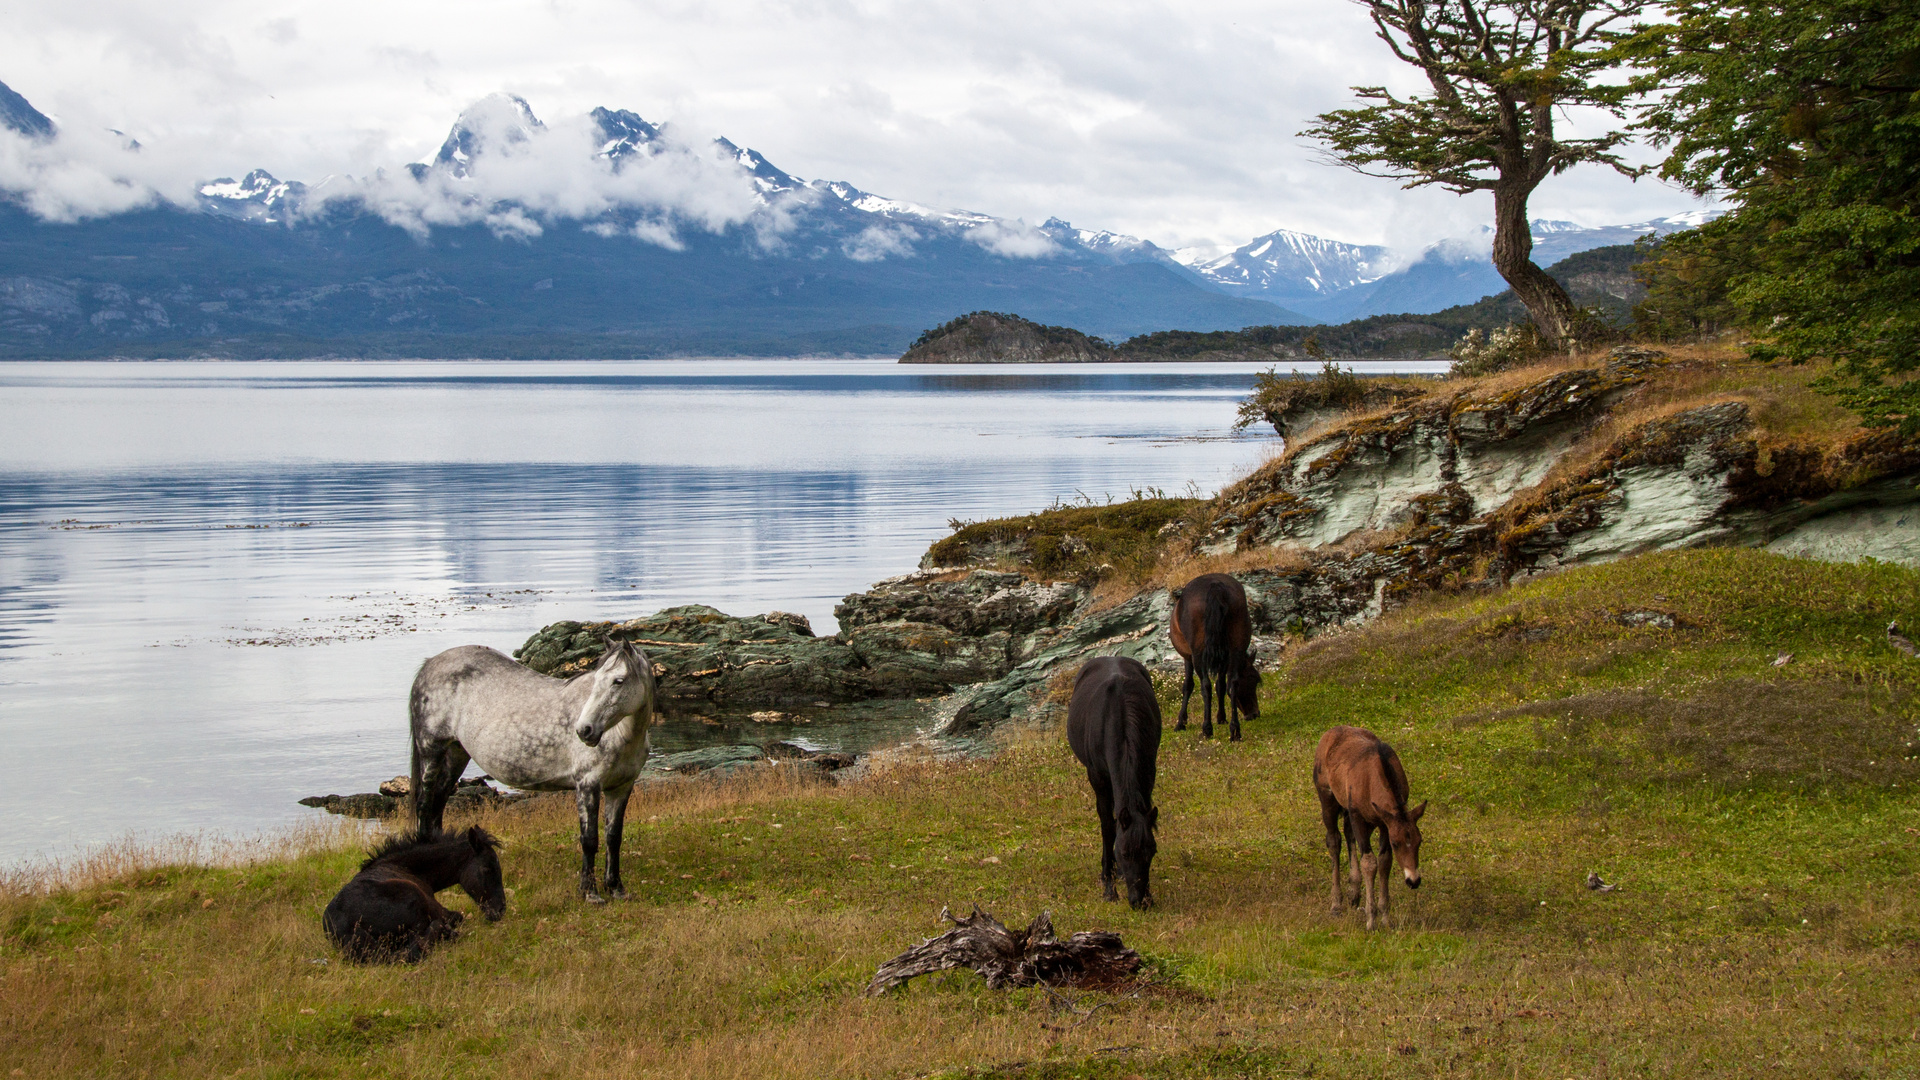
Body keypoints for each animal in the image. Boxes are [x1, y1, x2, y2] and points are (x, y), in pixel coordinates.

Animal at [328, 822, 510, 957]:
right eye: (487, 868)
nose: (500, 910)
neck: (406, 868)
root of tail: (345, 928)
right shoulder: (439, 910)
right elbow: (458, 917)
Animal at [408, 638, 656, 899]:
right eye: (596, 679)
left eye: (618, 681)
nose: (584, 730)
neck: (621, 734)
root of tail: (430, 664)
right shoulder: (588, 785)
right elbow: (589, 840)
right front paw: (590, 892)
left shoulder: (621, 787)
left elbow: (613, 837)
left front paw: (616, 887)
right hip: (431, 751)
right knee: (425, 805)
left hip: (456, 753)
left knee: (439, 802)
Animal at [1067, 653, 1152, 903]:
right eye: (1124, 852)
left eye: (1151, 851)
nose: (1139, 901)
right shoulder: (1098, 778)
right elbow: (1107, 825)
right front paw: (1108, 883)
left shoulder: (1147, 771)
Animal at [1167, 572, 1259, 737]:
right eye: (1253, 679)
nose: (1255, 714)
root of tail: (1215, 585)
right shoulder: (1224, 659)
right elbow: (1221, 686)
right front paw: (1221, 717)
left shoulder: (1188, 657)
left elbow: (1188, 685)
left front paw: (1181, 722)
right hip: (1237, 645)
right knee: (1232, 683)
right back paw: (1235, 730)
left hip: (1198, 654)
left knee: (1205, 685)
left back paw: (1207, 729)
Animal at [1305, 722, 1428, 926]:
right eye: (1397, 844)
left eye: (1420, 841)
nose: (1413, 881)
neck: (1373, 782)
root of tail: (1329, 733)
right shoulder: (1358, 816)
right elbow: (1369, 862)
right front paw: (1371, 919)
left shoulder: (1385, 823)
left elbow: (1385, 861)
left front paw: (1385, 917)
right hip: (1327, 796)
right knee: (1334, 840)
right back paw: (1336, 904)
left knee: (1348, 834)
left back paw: (1354, 893)